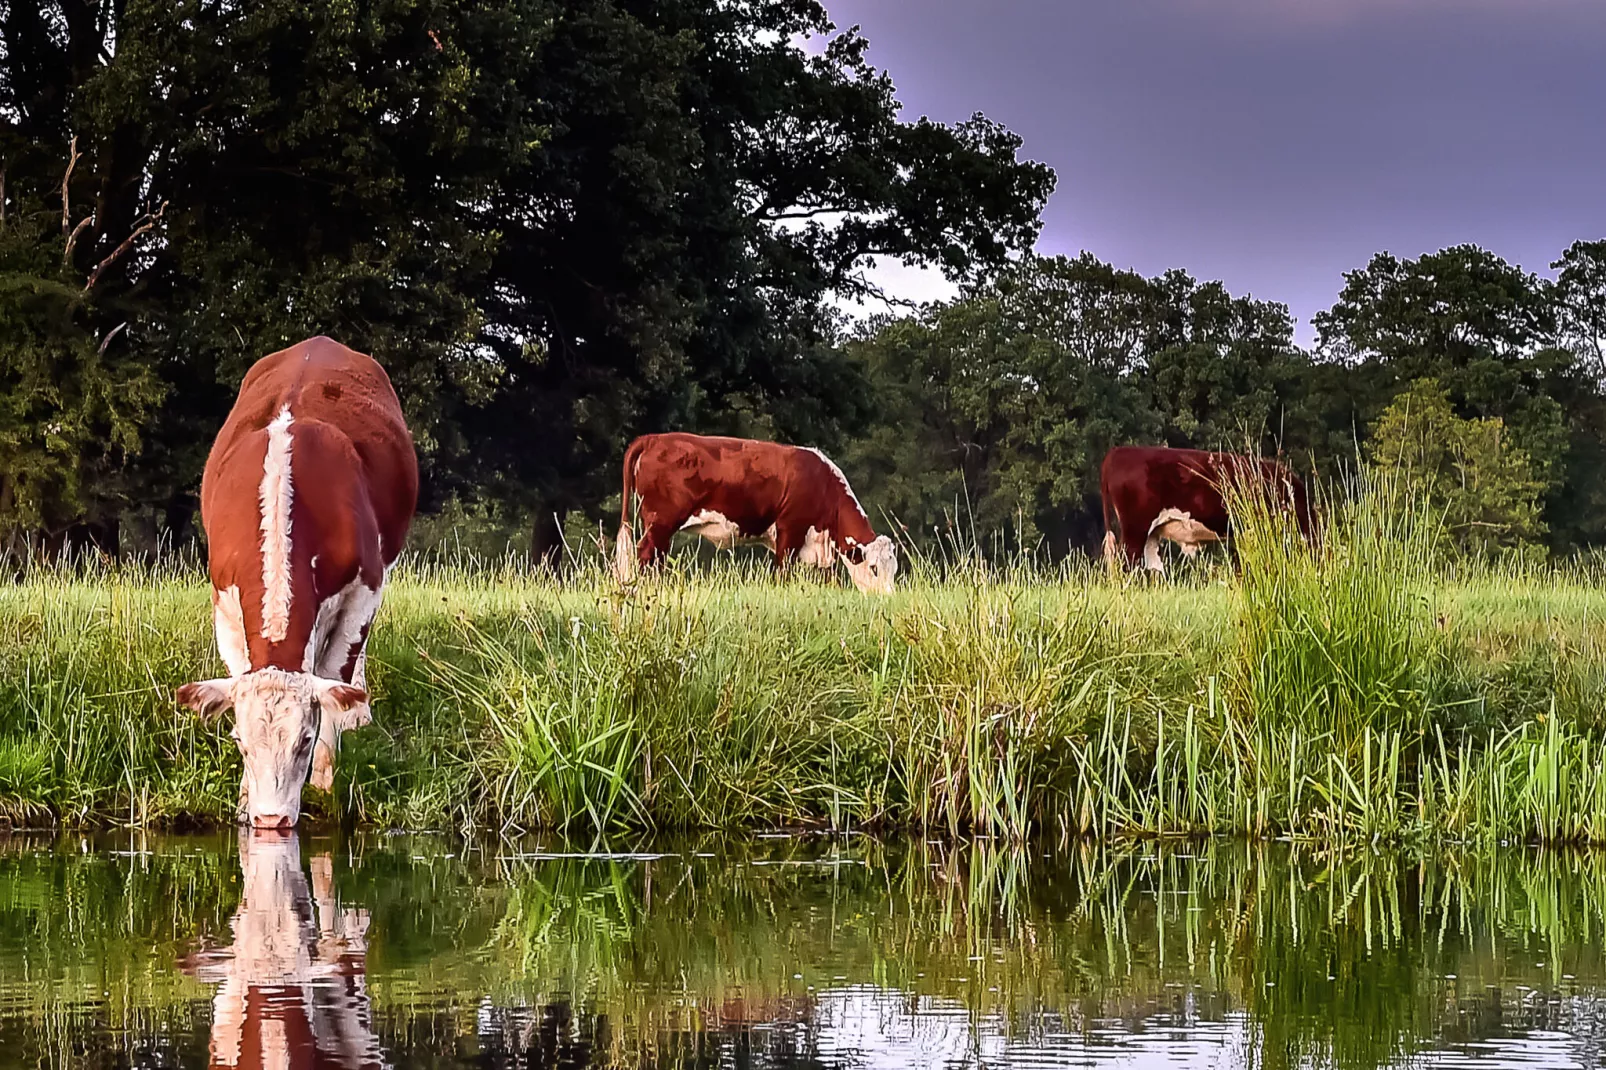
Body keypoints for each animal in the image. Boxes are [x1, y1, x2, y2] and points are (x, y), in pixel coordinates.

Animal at [174, 334, 420, 822]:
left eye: (304, 741)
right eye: (239, 742)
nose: (271, 821)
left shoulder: (364, 589)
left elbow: (335, 680)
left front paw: (326, 782)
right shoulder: (224, 601)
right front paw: (245, 799)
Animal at [610, 430, 899, 591]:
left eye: (894, 569)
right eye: (874, 567)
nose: (887, 597)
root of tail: (653, 439)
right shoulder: (789, 530)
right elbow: (783, 571)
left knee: (655, 557)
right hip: (660, 521)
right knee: (646, 554)